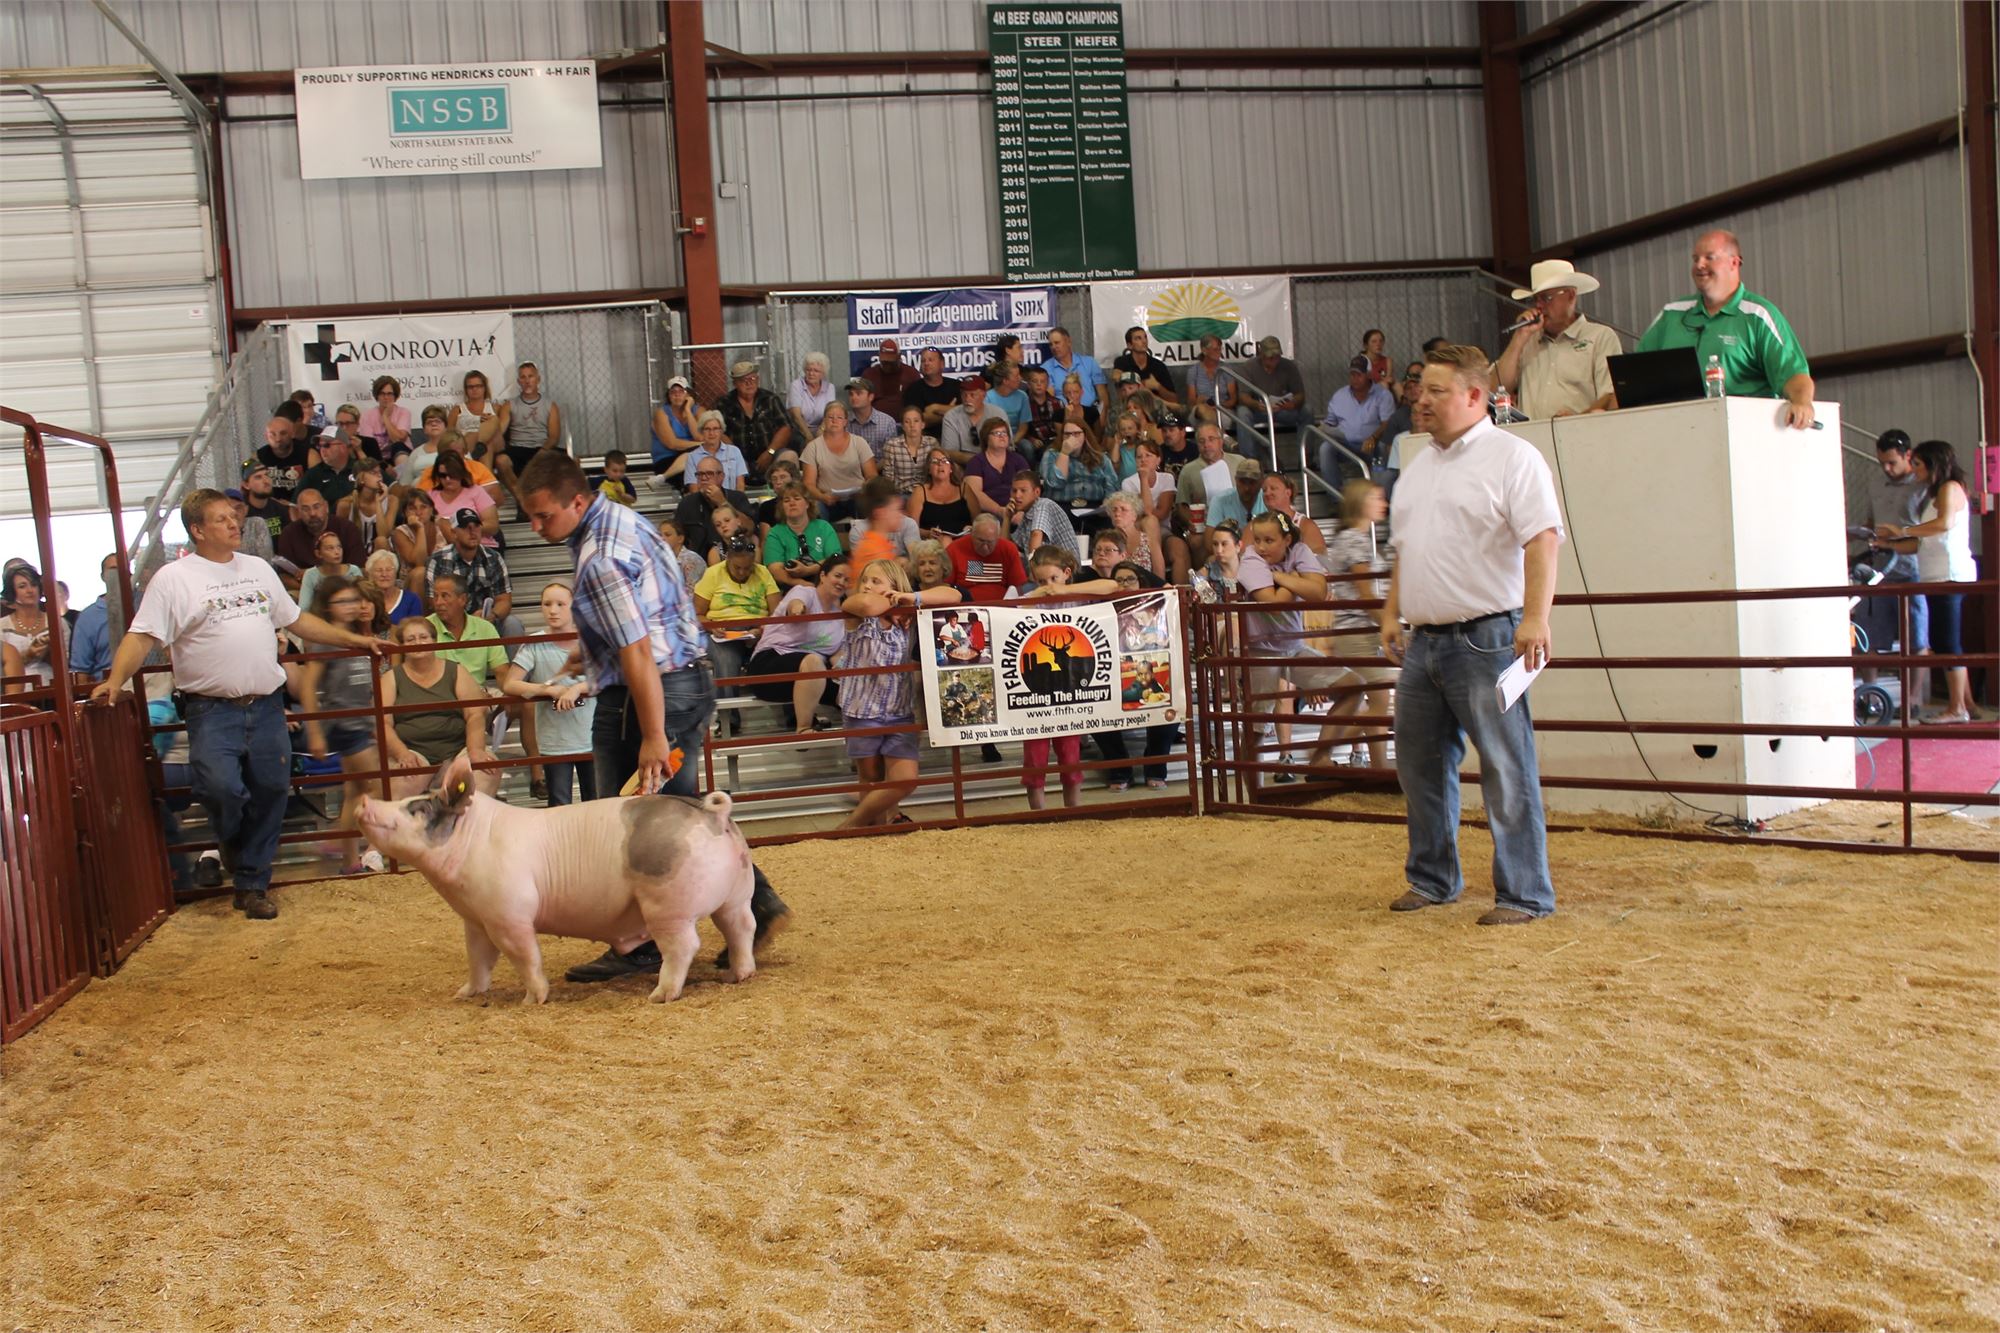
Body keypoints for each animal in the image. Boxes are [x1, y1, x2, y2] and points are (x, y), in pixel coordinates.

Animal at [356, 748, 760, 996]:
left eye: (419, 810)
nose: (364, 801)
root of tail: (713, 813)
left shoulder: (511, 914)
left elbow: (524, 955)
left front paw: (534, 999)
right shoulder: (476, 920)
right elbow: (479, 959)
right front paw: (466, 994)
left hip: (668, 905)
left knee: (684, 946)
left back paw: (660, 995)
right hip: (737, 892)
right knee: (743, 927)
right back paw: (738, 975)